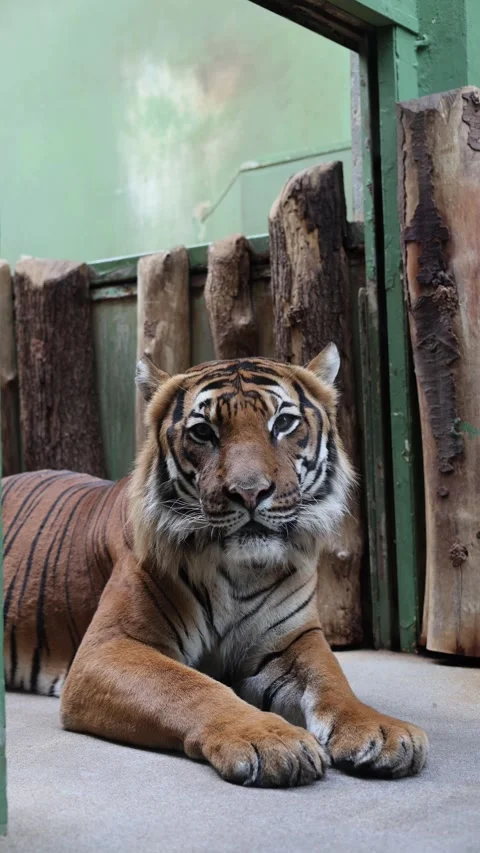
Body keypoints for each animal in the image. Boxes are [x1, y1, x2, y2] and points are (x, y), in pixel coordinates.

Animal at [2, 345, 428, 786]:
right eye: (203, 432)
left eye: (284, 423)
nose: (250, 492)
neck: (242, 571)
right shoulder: (108, 648)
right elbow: (190, 687)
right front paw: (272, 739)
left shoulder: (293, 639)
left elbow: (332, 681)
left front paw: (380, 730)